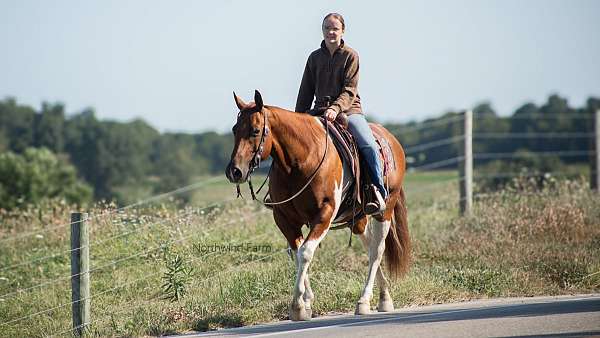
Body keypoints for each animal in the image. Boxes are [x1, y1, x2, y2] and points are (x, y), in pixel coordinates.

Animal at [225, 89, 412, 320]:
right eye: (235, 129)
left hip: (384, 209)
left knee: (376, 250)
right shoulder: (284, 218)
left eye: (255, 130)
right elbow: (296, 255)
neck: (300, 161)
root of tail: (392, 140)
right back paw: (384, 296)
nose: (234, 171)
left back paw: (365, 301)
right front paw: (306, 302)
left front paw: (297, 306)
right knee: (369, 245)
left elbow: (305, 252)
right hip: (358, 218)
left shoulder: (324, 213)